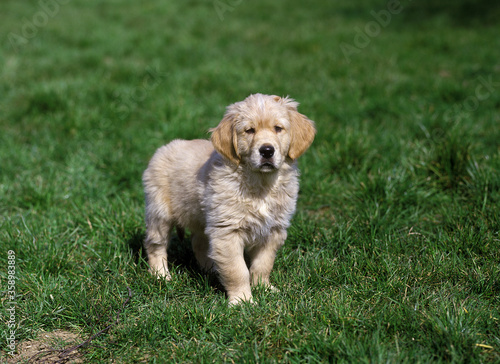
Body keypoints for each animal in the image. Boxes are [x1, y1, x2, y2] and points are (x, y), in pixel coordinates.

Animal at [143, 94, 314, 304]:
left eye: (278, 128)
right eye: (249, 130)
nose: (267, 150)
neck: (260, 184)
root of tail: (163, 148)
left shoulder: (273, 229)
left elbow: (263, 264)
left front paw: (264, 288)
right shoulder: (227, 231)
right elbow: (237, 270)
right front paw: (243, 301)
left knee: (199, 243)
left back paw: (211, 270)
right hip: (159, 211)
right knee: (155, 244)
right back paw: (161, 275)